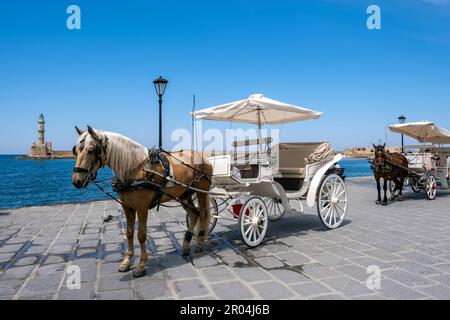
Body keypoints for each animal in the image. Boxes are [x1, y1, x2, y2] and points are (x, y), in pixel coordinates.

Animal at [72, 126, 213, 276]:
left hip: (201, 192)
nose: (76, 181)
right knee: (194, 214)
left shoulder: (142, 208)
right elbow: (129, 233)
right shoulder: (127, 207)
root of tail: (203, 156)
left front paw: (141, 265)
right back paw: (186, 246)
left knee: (203, 215)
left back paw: (200, 243)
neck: (134, 168)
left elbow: (141, 235)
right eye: (76, 151)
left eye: (91, 150)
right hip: (184, 195)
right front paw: (127, 261)